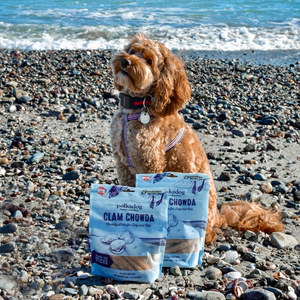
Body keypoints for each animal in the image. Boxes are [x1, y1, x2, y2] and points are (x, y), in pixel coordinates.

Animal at [110, 34, 284, 244]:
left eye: (149, 61)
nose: (125, 61)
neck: (135, 110)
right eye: (132, 50)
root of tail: (219, 216)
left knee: (208, 232)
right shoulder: (123, 165)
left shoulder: (151, 164)